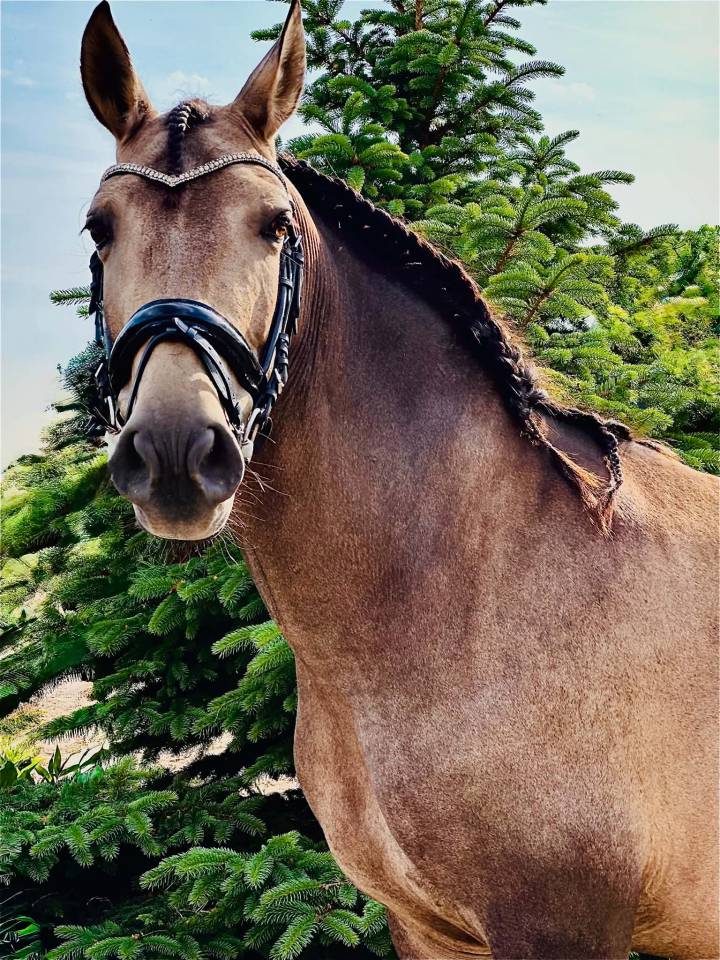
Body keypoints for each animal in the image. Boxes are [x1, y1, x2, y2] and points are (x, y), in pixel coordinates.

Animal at [78, 3, 719, 957]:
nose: (174, 453)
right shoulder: (423, 928)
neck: (465, 586)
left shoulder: (562, 926)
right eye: (100, 227)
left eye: (274, 225)